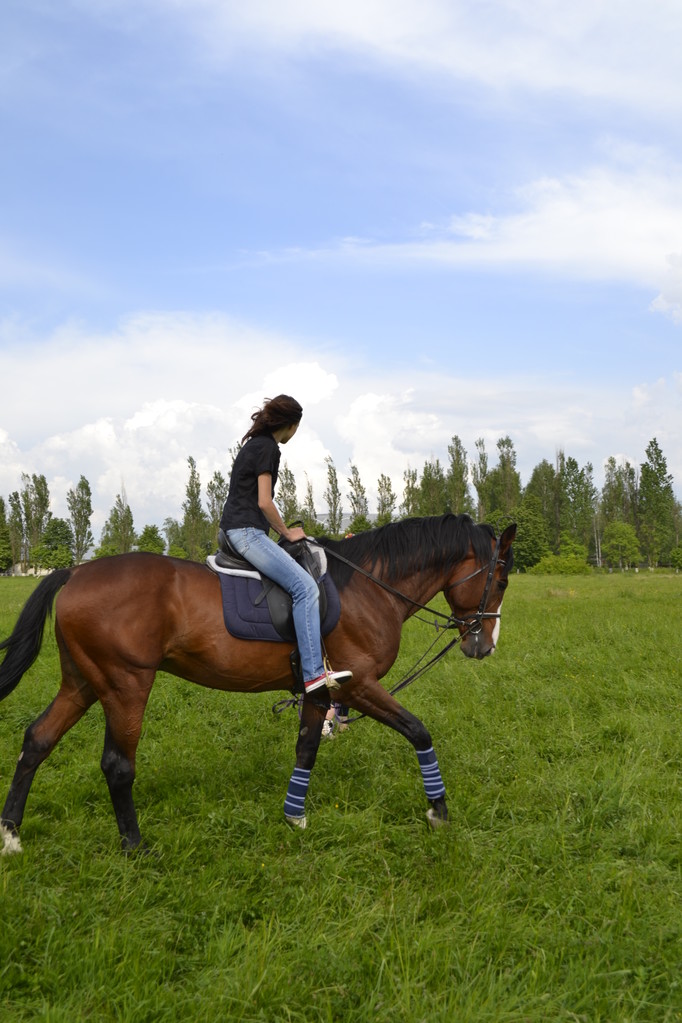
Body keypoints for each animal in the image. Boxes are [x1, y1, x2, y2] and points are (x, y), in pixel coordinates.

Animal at [0, 511, 515, 855]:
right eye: (502, 580)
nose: (485, 646)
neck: (370, 587)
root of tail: (75, 571)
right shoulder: (357, 686)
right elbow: (418, 731)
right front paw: (438, 811)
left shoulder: (320, 690)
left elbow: (306, 748)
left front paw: (295, 817)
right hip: (125, 685)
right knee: (117, 765)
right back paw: (135, 846)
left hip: (84, 683)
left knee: (37, 740)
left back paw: (10, 836)